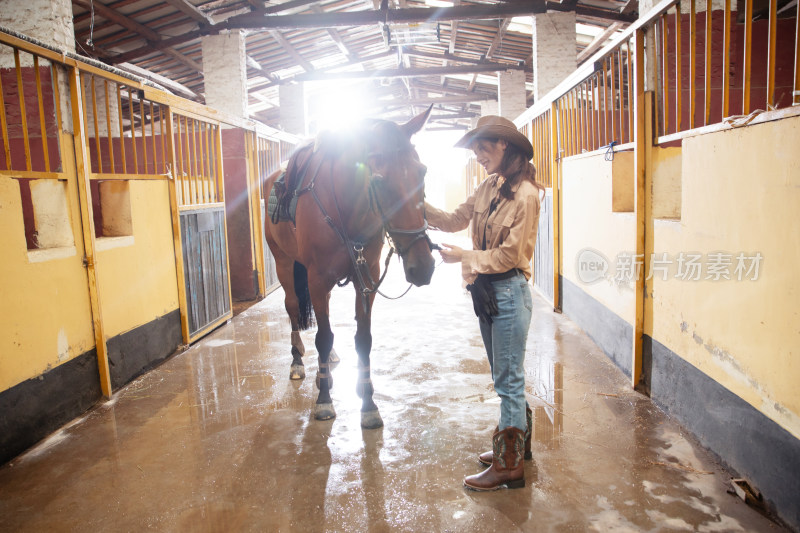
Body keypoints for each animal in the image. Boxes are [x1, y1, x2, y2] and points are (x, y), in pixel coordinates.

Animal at [264, 107, 434, 428]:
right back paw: (298, 362)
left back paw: (326, 365)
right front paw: (324, 401)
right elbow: (322, 336)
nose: (423, 267)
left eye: (423, 172)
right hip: (284, 263)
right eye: (378, 180)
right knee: (292, 308)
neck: (346, 207)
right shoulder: (317, 279)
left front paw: (368, 403)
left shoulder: (366, 277)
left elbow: (363, 339)